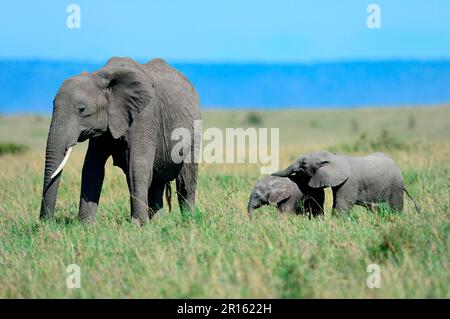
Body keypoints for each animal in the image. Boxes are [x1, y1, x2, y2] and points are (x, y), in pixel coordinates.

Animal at [40, 58, 200, 228]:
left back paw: (188, 222)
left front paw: (138, 226)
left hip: (194, 129)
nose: (45, 223)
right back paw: (158, 224)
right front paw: (86, 226)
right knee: (156, 183)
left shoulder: (145, 115)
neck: (99, 76)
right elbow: (92, 167)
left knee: (185, 182)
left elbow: (137, 167)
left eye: (82, 109)